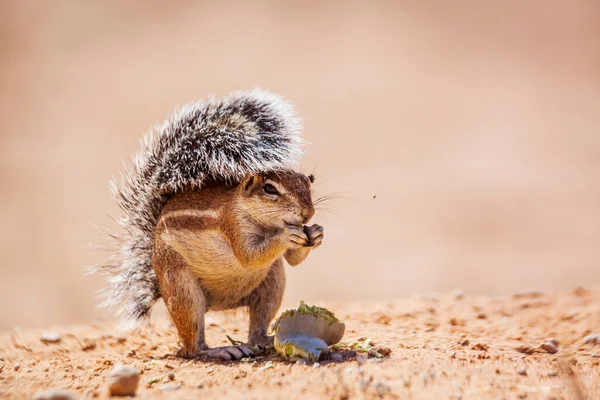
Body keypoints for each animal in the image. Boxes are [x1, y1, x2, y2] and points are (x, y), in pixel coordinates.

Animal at [94, 88, 324, 360]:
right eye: (269, 189)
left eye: (308, 181)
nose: (307, 214)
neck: (266, 223)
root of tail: (219, 304)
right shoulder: (232, 225)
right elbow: (249, 255)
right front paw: (286, 236)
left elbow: (292, 259)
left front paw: (316, 233)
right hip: (183, 290)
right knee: (192, 346)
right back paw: (222, 349)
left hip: (272, 284)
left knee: (257, 324)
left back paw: (263, 340)